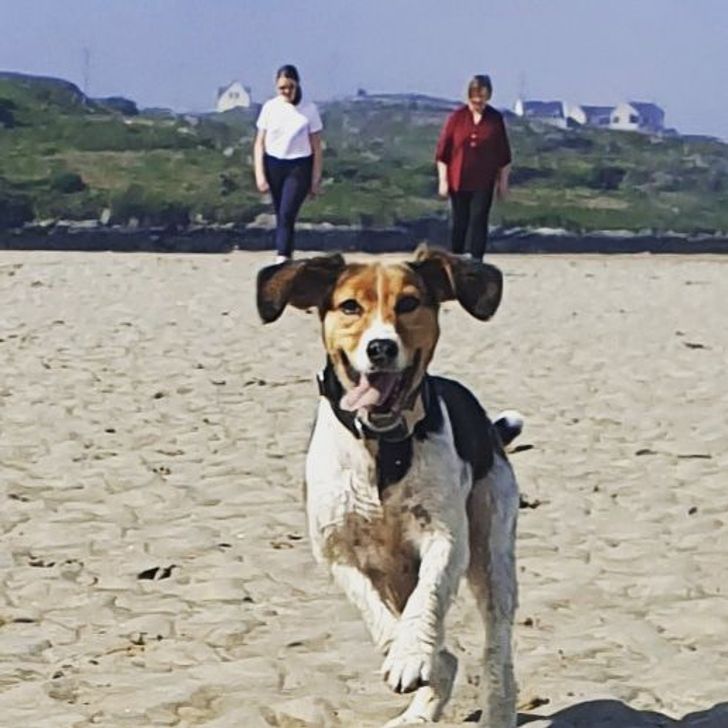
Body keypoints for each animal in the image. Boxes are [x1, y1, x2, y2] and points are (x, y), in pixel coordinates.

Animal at [258, 247, 520, 724]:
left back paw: (495, 710)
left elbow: (428, 598)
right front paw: (410, 656)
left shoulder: (445, 538)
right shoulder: (337, 552)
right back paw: (420, 710)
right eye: (350, 307)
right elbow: (377, 613)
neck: (383, 445)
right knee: (446, 652)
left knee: (497, 651)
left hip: (493, 550)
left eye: (409, 303)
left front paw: (410, 655)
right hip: (399, 573)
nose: (381, 347)